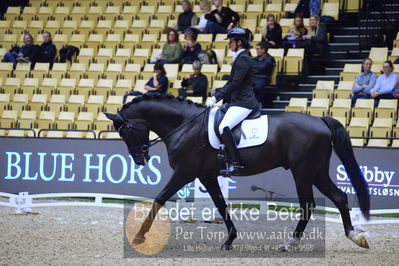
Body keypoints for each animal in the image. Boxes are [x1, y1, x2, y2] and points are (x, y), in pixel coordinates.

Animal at [106, 94, 372, 251]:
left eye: (125, 132)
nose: (140, 159)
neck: (185, 124)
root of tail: (319, 120)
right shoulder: (206, 175)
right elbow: (220, 205)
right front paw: (229, 240)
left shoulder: (185, 172)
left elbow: (159, 199)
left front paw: (139, 236)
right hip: (316, 171)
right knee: (339, 197)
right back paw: (354, 236)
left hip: (303, 172)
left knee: (308, 204)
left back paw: (290, 242)